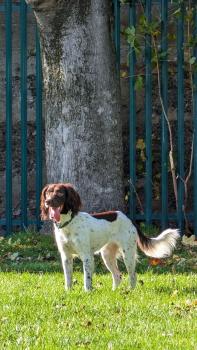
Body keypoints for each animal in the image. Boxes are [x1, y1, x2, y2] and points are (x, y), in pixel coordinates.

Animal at [40, 182, 179, 292]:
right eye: (48, 193)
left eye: (60, 193)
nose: (47, 202)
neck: (68, 224)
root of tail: (129, 219)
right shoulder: (66, 256)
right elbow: (68, 278)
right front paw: (68, 292)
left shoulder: (86, 256)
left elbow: (87, 278)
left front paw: (87, 292)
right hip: (107, 255)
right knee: (118, 275)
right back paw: (114, 292)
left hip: (128, 254)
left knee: (133, 275)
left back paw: (130, 291)